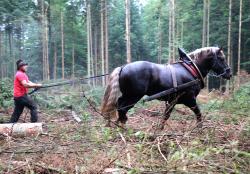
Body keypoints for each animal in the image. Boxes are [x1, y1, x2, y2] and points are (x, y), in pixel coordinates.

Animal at [101, 47, 232, 128]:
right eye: (222, 58)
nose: (229, 73)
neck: (191, 69)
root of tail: (123, 67)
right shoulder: (189, 99)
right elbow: (198, 113)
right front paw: (200, 129)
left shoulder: (172, 100)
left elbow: (165, 115)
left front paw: (160, 129)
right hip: (133, 96)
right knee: (122, 108)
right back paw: (123, 126)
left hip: (128, 95)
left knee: (118, 105)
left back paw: (117, 124)